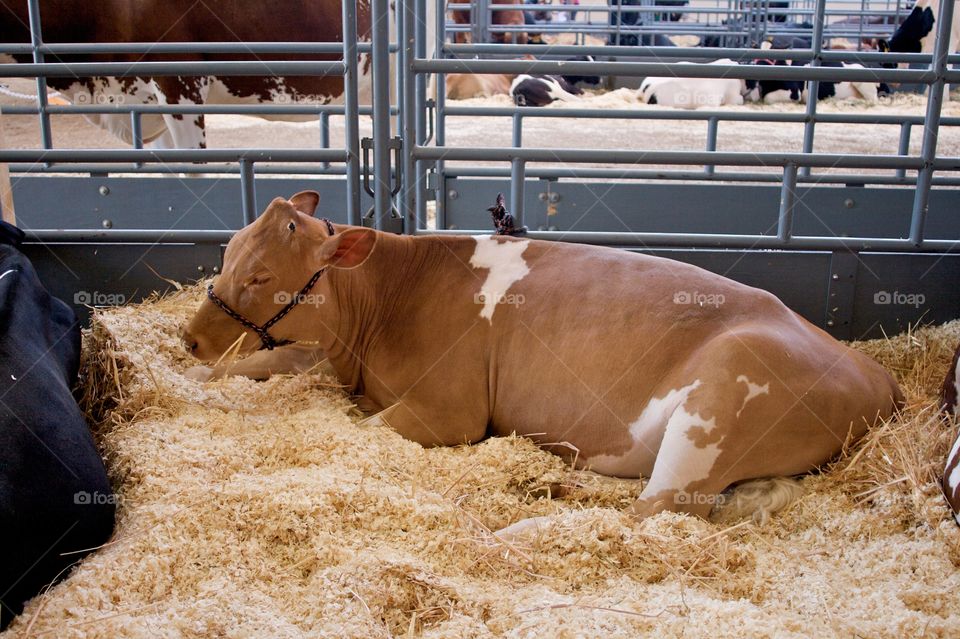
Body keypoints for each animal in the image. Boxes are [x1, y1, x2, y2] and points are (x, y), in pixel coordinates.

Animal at [180, 192, 903, 535]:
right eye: (227, 252)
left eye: (261, 275)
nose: (189, 339)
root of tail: (875, 373)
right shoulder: (329, 357)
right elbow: (272, 364)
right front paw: (202, 381)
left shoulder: (450, 412)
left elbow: (363, 431)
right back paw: (553, 484)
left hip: (718, 404)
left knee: (652, 510)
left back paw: (508, 527)